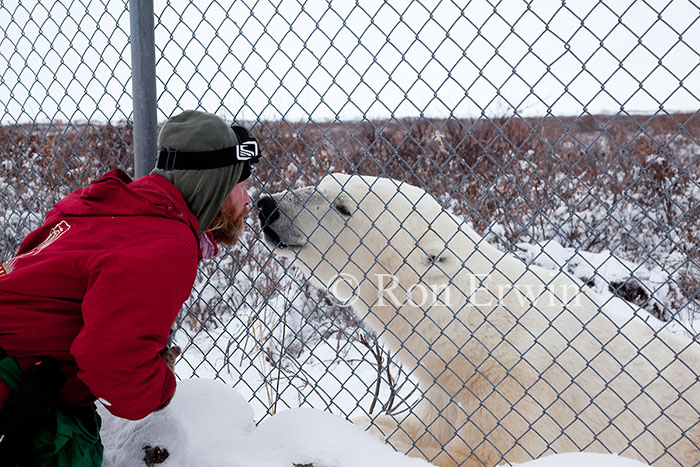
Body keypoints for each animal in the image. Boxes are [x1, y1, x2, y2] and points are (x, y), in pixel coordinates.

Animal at [258, 173, 700, 467]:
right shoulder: (444, 390)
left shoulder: (518, 392)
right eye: (322, 181)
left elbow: (475, 453)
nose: (267, 204)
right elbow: (423, 424)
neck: (473, 329)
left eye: (343, 206)